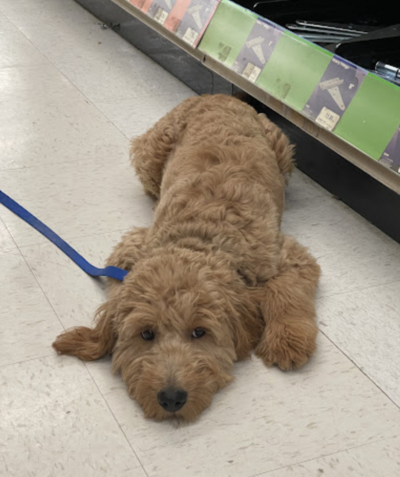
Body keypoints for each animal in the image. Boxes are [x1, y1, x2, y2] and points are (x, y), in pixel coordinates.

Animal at [54, 93, 322, 420]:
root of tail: (218, 95)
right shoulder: (131, 247)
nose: (171, 399)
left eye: (199, 332)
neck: (202, 240)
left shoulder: (287, 255)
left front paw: (288, 339)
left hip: (282, 148)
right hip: (149, 152)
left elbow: (287, 293)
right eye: (146, 334)